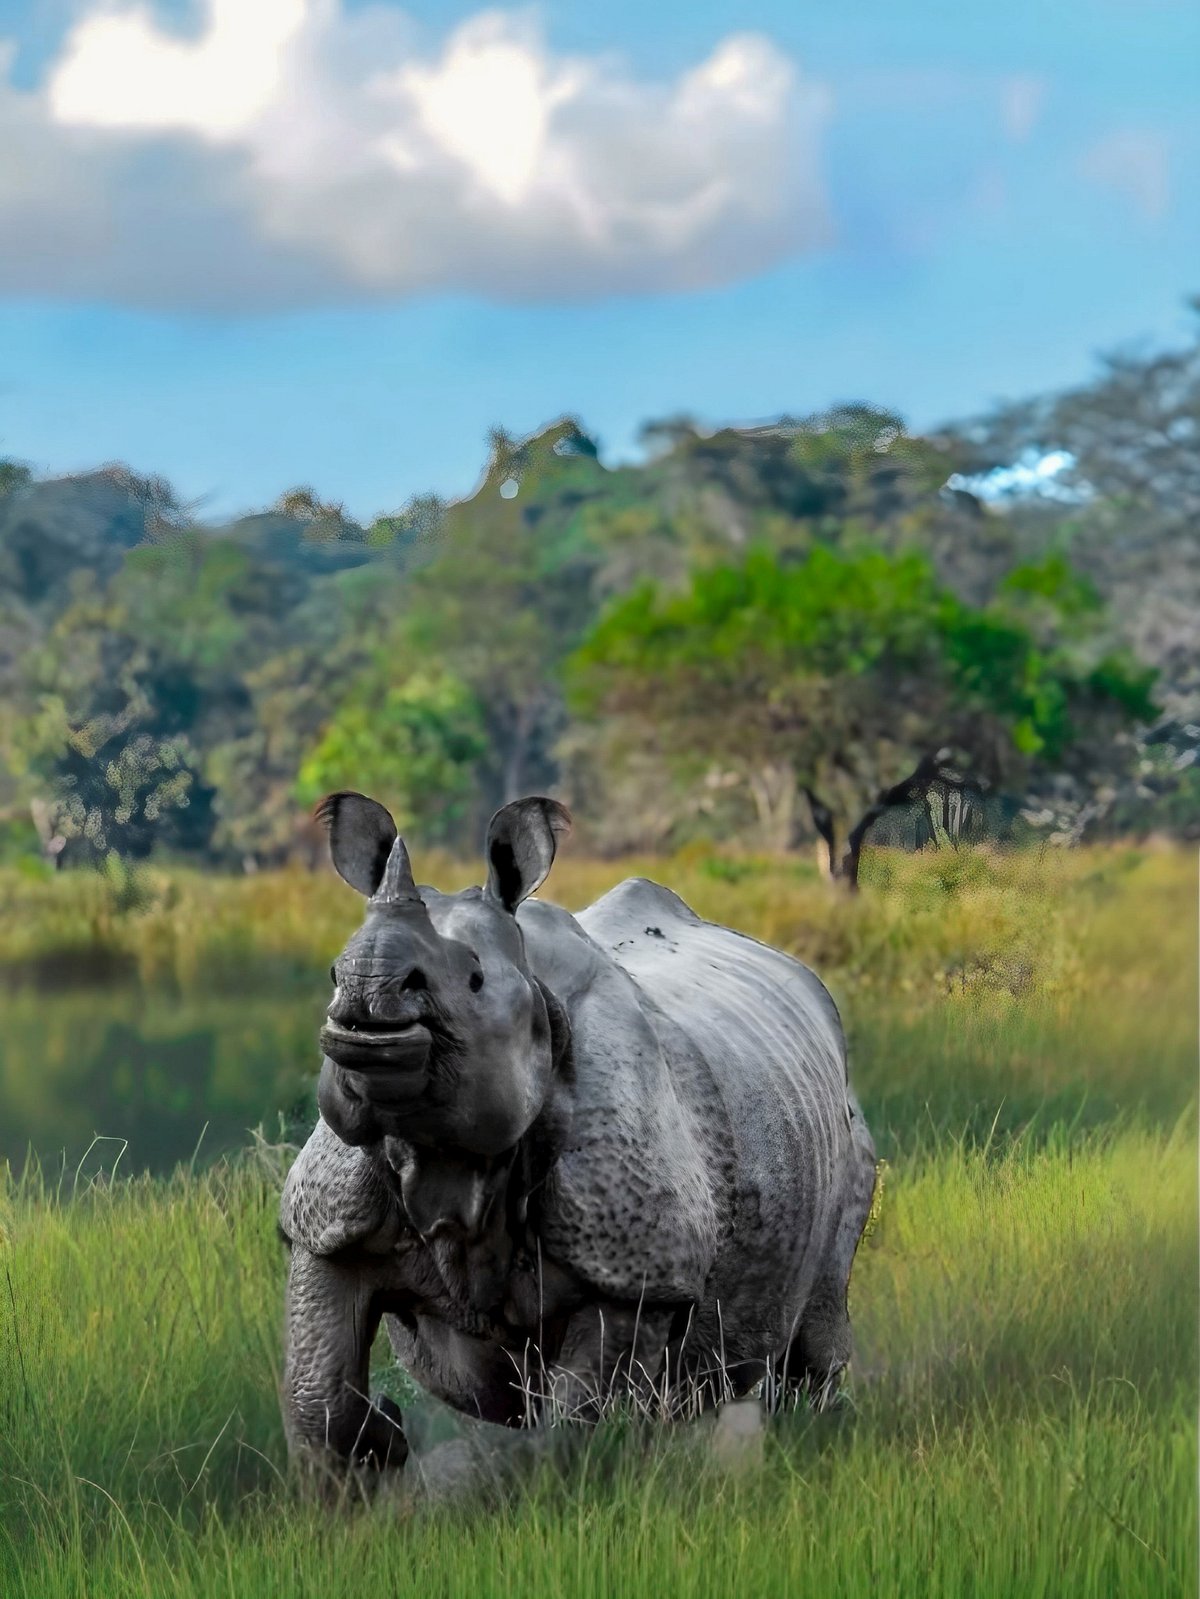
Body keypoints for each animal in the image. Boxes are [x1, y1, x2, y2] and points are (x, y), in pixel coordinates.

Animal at [280, 791, 877, 1472]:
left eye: (474, 980)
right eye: (334, 974)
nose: (366, 997)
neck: (447, 1160)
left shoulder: (631, 1270)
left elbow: (582, 1422)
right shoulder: (326, 1226)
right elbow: (318, 1401)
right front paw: (386, 1435)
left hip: (843, 1128)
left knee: (813, 1335)